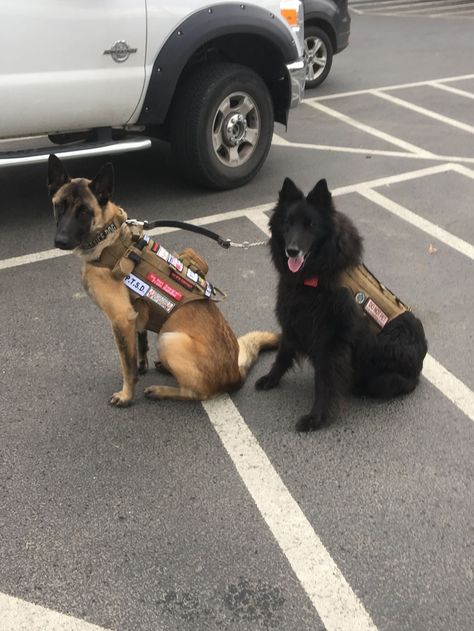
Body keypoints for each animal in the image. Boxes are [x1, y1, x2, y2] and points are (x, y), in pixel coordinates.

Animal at [47, 156, 278, 408]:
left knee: (198, 393)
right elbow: (139, 346)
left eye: (84, 212)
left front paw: (126, 395)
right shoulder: (135, 315)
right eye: (59, 206)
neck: (108, 238)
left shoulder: (120, 319)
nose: (60, 241)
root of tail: (235, 375)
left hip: (168, 339)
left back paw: (162, 390)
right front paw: (142, 365)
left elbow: (127, 366)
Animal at [258, 178, 428, 434]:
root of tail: (420, 364)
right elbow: (282, 355)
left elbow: (324, 383)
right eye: (288, 223)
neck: (316, 277)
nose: (292, 250)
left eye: (310, 225)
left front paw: (316, 418)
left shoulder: (331, 343)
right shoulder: (293, 321)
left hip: (378, 378)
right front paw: (271, 379)